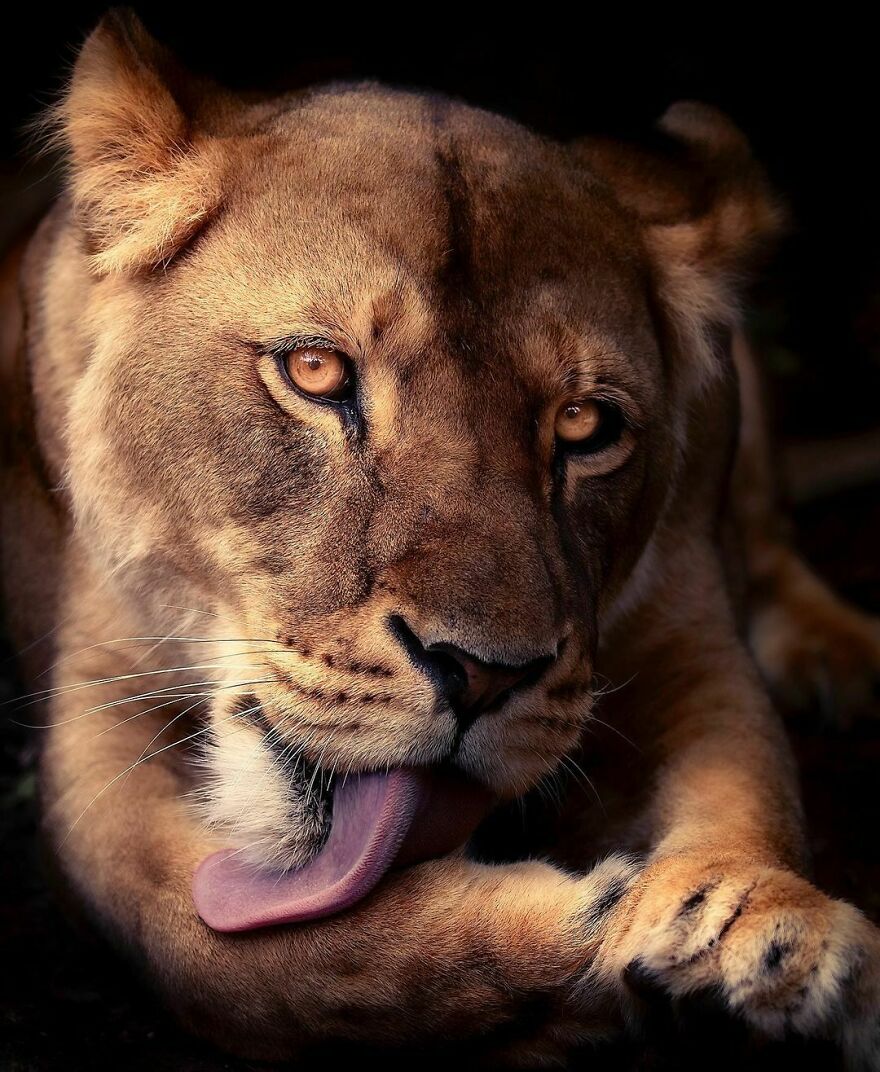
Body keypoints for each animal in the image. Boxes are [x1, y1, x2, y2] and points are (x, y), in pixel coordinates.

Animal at [2, 11, 880, 1067]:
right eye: (316, 369)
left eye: (585, 425)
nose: (485, 676)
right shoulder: (91, 726)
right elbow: (230, 954)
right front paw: (581, 941)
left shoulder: (688, 635)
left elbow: (751, 784)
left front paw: (758, 933)